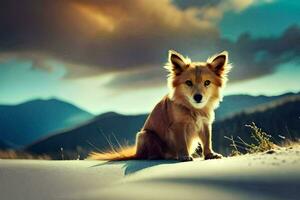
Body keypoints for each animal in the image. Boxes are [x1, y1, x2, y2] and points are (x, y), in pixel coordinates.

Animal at [89, 49, 232, 161]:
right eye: (188, 83)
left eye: (207, 83)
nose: (198, 97)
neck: (193, 109)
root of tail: (136, 153)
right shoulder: (178, 126)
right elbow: (182, 143)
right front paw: (184, 156)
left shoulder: (205, 124)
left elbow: (207, 141)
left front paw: (210, 154)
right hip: (146, 135)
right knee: (151, 155)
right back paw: (160, 156)